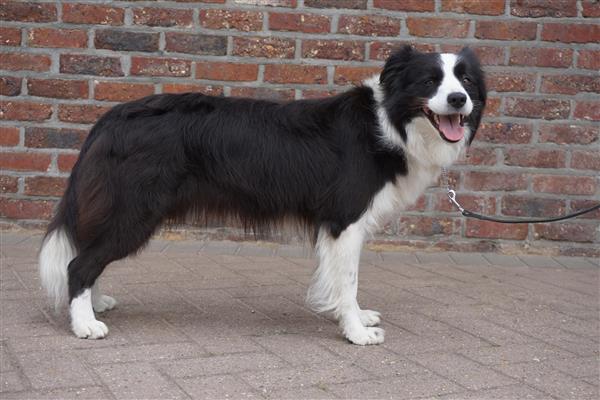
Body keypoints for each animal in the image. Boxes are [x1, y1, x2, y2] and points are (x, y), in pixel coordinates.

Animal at [39, 45, 486, 346]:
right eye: (430, 81)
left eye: (465, 81)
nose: (459, 100)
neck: (391, 122)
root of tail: (111, 118)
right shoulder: (345, 220)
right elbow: (348, 280)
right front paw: (356, 331)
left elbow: (347, 280)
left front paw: (358, 318)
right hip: (135, 211)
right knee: (79, 263)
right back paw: (85, 324)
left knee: (89, 257)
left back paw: (95, 304)